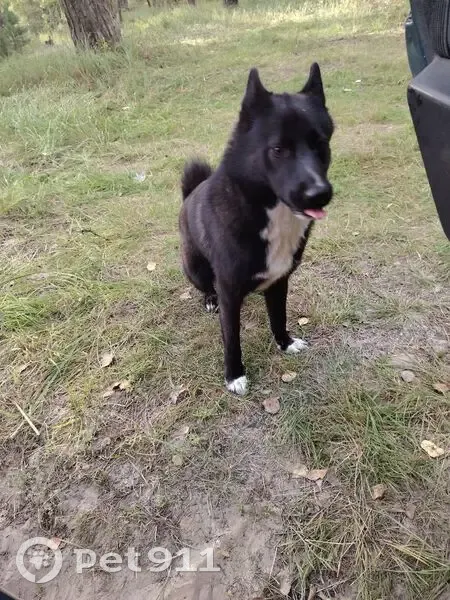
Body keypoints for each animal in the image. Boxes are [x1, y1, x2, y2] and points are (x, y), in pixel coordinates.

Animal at [179, 63, 334, 395]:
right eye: (278, 149)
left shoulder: (279, 281)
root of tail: (188, 196)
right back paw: (208, 299)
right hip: (195, 269)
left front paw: (285, 343)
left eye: (321, 144)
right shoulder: (229, 291)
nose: (320, 194)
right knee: (205, 286)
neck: (267, 211)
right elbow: (231, 339)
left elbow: (278, 316)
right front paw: (234, 375)